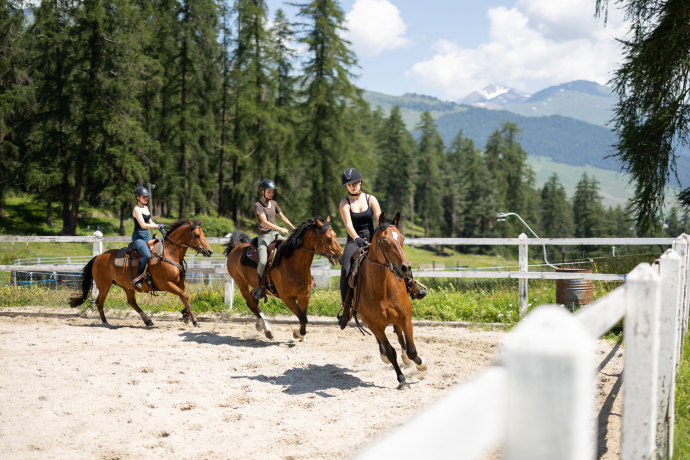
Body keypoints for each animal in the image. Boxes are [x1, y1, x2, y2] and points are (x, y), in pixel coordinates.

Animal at [69, 219, 214, 327]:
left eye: (204, 234)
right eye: (197, 235)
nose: (209, 251)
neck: (169, 254)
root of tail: (98, 257)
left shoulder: (180, 283)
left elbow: (185, 297)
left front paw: (193, 319)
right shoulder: (165, 284)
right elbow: (184, 296)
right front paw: (186, 315)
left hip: (127, 286)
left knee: (131, 302)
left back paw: (147, 320)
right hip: (104, 285)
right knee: (100, 302)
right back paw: (105, 322)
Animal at [349, 211, 427, 389]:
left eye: (402, 238)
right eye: (384, 241)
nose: (405, 268)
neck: (382, 289)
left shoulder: (405, 318)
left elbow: (412, 350)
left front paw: (421, 364)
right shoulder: (374, 325)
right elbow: (391, 352)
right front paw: (402, 379)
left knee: (400, 337)